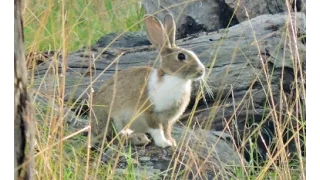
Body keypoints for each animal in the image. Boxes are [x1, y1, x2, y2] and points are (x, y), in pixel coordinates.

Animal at [90, 13, 205, 148]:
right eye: (181, 56)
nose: (201, 71)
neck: (173, 77)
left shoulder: (167, 120)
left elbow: (166, 130)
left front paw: (172, 142)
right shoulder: (150, 113)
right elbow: (157, 130)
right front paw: (164, 143)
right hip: (114, 119)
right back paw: (137, 139)